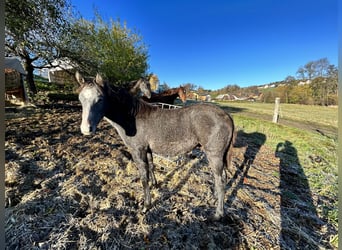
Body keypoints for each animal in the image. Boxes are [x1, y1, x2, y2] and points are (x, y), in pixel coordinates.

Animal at [76, 72, 235, 219]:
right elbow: (151, 166)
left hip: (214, 154)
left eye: (100, 99)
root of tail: (226, 116)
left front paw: (146, 205)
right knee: (222, 177)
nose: (86, 129)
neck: (133, 117)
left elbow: (143, 177)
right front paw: (155, 184)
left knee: (220, 180)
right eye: (80, 99)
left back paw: (218, 214)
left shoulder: (137, 151)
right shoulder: (147, 150)